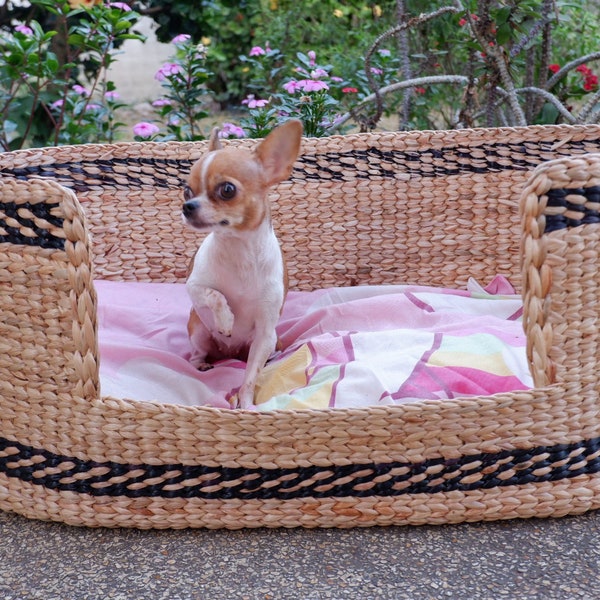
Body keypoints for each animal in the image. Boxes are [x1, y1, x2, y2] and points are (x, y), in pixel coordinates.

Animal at [182, 118, 304, 408]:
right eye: (186, 190)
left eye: (227, 190)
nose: (187, 206)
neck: (239, 251)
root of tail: (229, 352)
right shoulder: (194, 287)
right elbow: (215, 294)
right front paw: (226, 319)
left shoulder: (264, 335)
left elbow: (250, 377)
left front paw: (247, 404)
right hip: (197, 330)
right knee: (196, 354)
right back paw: (202, 363)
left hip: (271, 341)